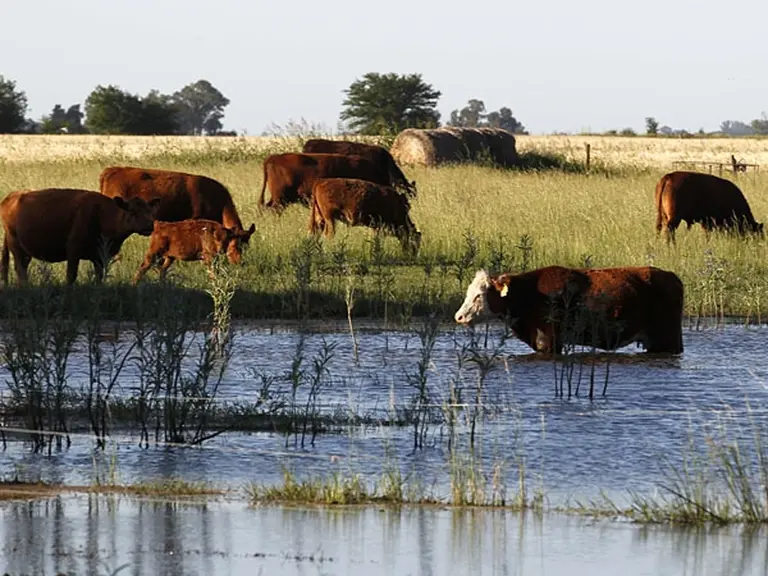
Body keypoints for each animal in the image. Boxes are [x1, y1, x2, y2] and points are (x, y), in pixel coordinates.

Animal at [0, 188, 160, 286]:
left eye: (150, 211)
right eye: (132, 212)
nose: (149, 225)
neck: (102, 214)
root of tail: (12, 197)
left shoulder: (100, 257)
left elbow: (99, 276)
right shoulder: (73, 250)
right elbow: (71, 275)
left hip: (24, 251)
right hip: (15, 245)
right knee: (20, 269)